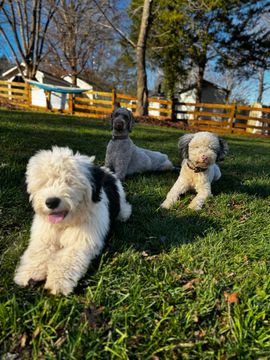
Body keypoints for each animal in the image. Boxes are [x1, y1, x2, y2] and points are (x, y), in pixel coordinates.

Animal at [14, 146, 132, 296]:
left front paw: (58, 282)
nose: (51, 202)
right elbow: (38, 253)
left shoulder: (81, 242)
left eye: (69, 181)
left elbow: (67, 259)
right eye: (44, 182)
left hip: (121, 201)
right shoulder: (44, 238)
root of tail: (106, 171)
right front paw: (29, 274)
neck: (65, 224)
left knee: (125, 207)